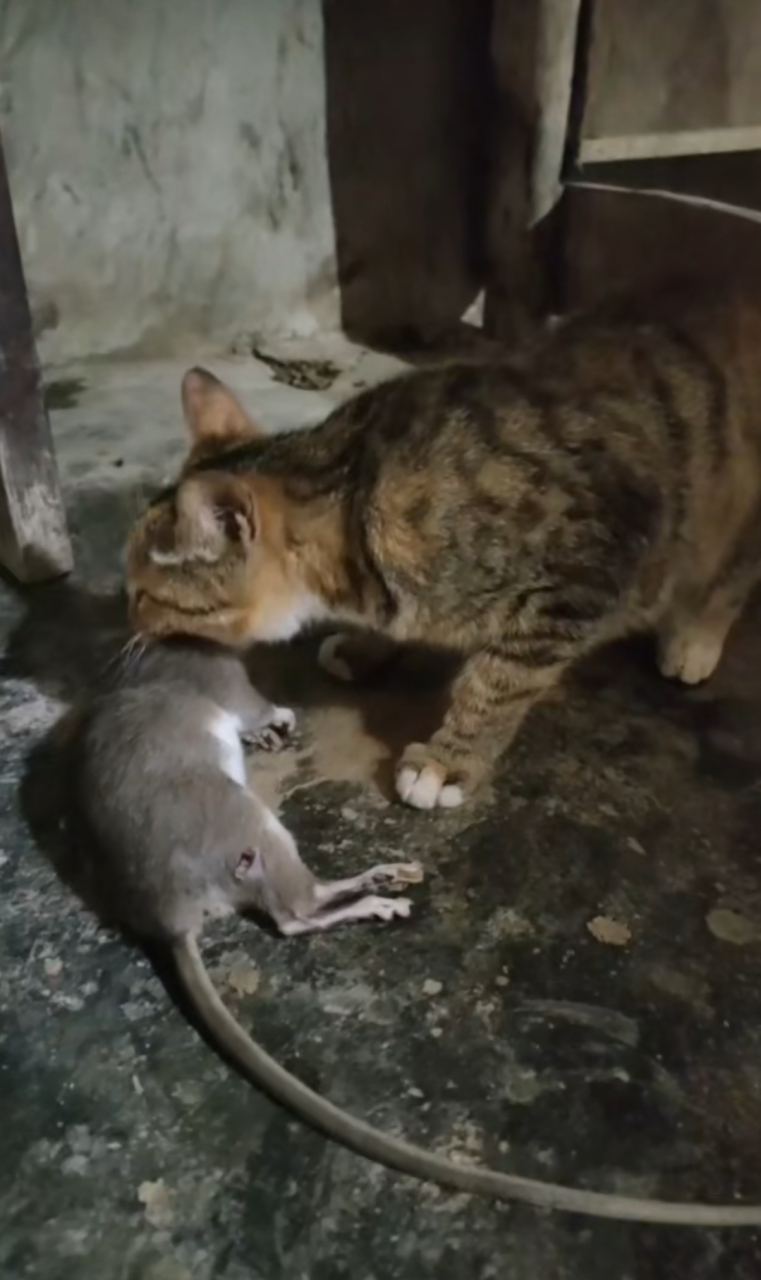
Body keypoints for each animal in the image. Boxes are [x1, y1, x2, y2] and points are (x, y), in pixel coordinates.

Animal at [127, 288, 761, 808]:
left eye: (141, 594)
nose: (127, 621)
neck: (355, 493)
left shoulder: (587, 568)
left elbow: (500, 679)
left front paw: (448, 759)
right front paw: (366, 645)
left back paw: (694, 638)